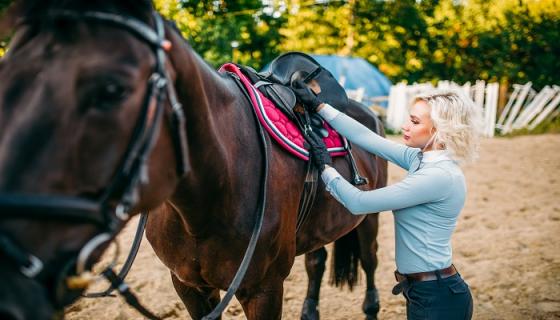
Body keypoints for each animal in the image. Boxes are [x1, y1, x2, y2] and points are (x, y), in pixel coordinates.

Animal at [0, 1, 384, 318]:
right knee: (316, 262)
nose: (15, 282)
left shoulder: (264, 289)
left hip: (368, 219)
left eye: (113, 89)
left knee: (369, 263)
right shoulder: (188, 286)